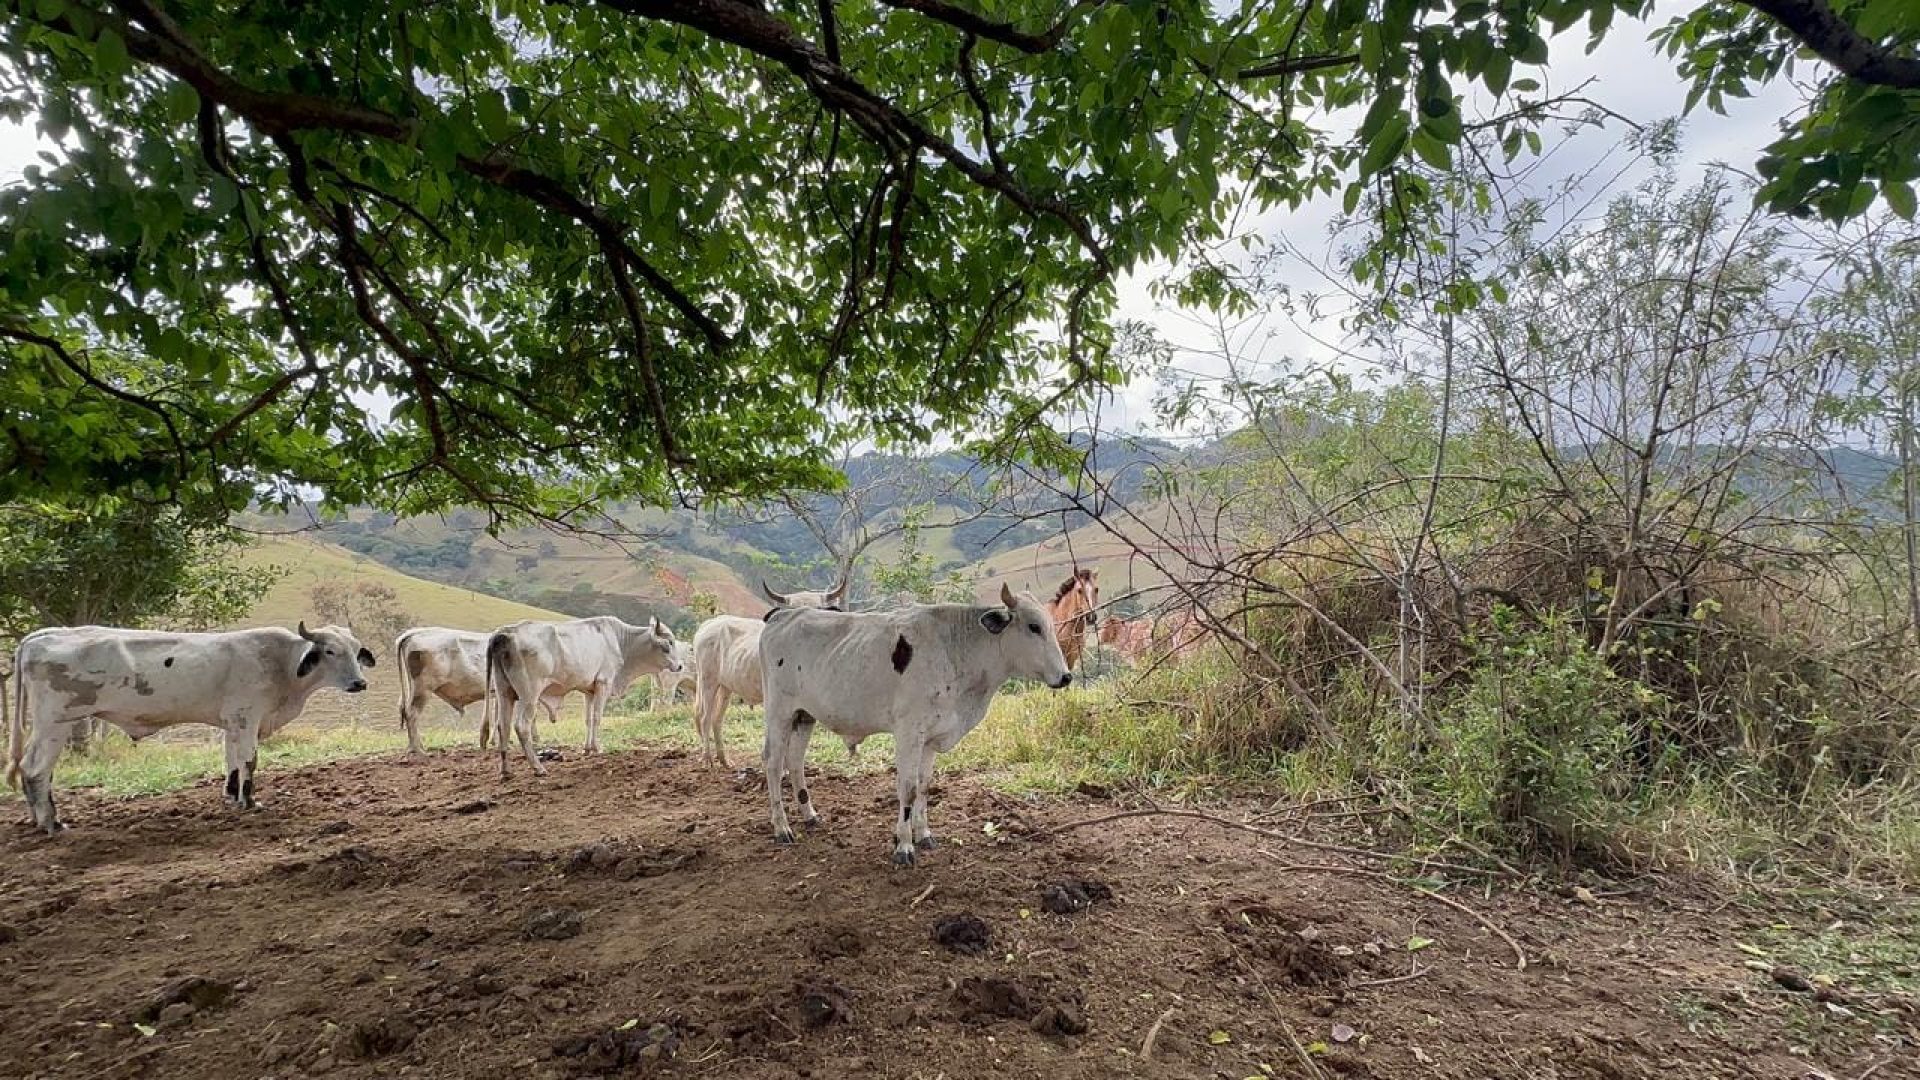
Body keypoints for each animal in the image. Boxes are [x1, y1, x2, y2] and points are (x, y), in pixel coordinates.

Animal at [8, 618, 374, 826]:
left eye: (356, 650)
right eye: (330, 651)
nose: (360, 683)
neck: (281, 663)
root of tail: (41, 636)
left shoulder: (233, 723)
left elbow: (232, 761)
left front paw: (232, 796)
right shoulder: (247, 718)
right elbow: (249, 761)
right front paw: (250, 802)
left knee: (34, 770)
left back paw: (39, 819)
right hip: (56, 722)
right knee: (36, 769)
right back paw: (52, 823)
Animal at [393, 622, 564, 757]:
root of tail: (414, 633)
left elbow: (498, 716)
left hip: (413, 687)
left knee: (405, 711)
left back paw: (414, 747)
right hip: (423, 688)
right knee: (412, 714)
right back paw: (418, 750)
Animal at [487, 614, 683, 772]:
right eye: (670, 642)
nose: (680, 666)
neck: (621, 642)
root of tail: (506, 633)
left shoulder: (589, 690)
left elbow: (588, 719)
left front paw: (587, 749)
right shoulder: (604, 683)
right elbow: (596, 717)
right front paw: (597, 748)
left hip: (504, 692)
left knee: (502, 726)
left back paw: (505, 771)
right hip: (529, 695)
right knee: (521, 726)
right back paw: (538, 768)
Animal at [756, 584, 1075, 860]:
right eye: (1034, 626)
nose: (1066, 676)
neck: (958, 649)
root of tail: (782, 617)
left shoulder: (932, 736)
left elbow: (923, 785)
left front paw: (924, 835)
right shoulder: (909, 732)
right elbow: (908, 787)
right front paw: (904, 846)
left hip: (804, 716)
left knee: (795, 761)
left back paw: (809, 815)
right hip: (778, 712)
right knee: (773, 763)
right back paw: (781, 827)